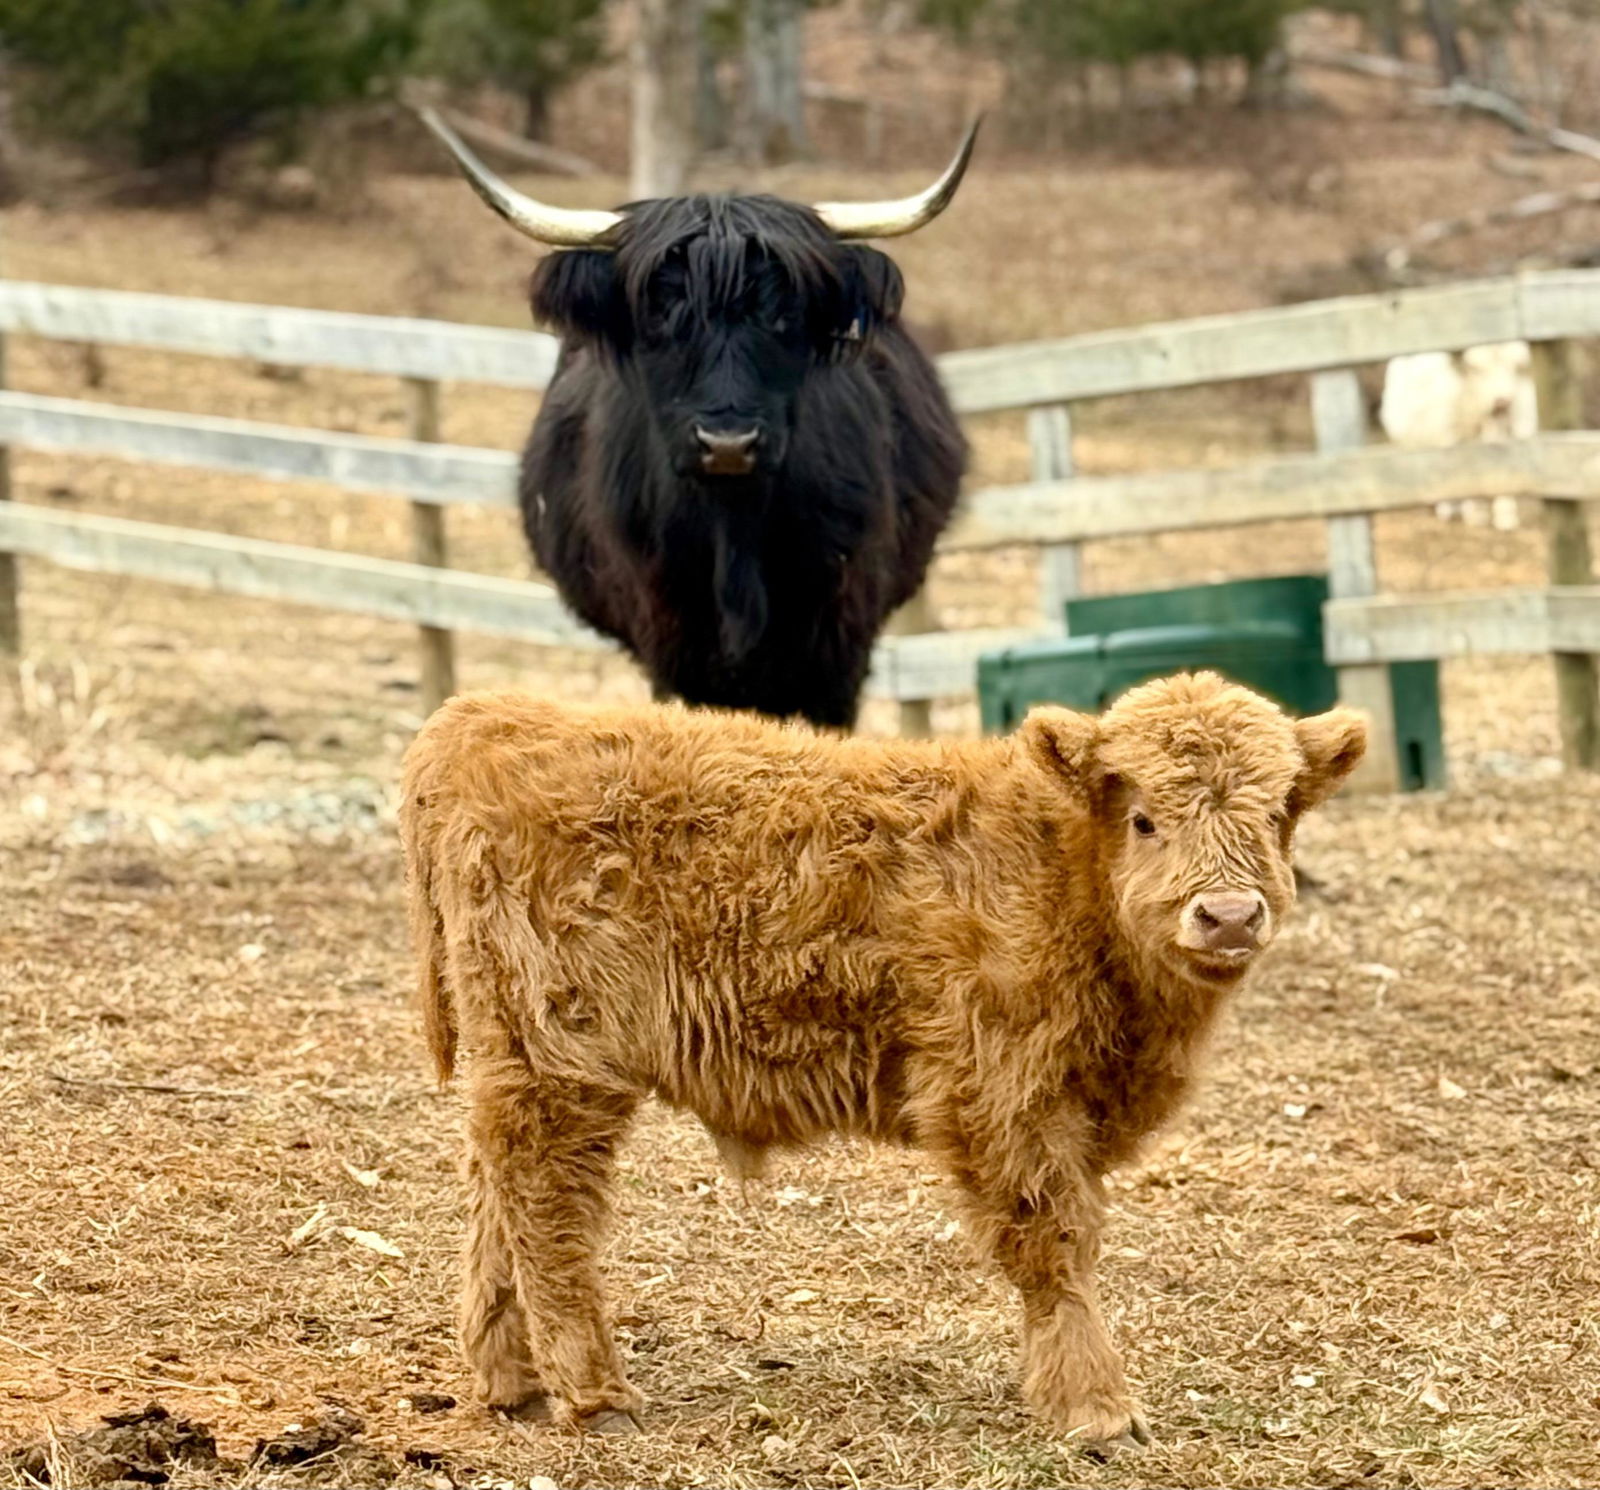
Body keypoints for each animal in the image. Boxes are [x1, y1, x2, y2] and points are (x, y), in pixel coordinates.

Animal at [400, 671, 1368, 1447]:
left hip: (513, 1050)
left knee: (495, 1187)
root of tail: (489, 716)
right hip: (565, 1057)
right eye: (1144, 819)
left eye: (1276, 815)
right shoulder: (1001, 1097)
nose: (1230, 915)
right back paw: (595, 1395)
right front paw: (1097, 1410)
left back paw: (511, 1382)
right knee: (547, 1204)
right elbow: (1054, 1243)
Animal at [418, 108, 974, 729]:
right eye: (661, 313)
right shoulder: (672, 644)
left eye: (785, 313)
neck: (734, 532)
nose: (727, 442)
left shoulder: (838, 647)